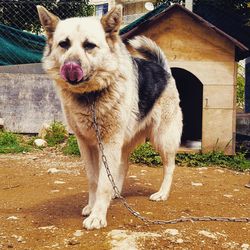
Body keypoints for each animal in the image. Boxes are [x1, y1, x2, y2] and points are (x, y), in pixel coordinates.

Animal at [36, 4, 182, 230]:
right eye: (64, 44)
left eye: (89, 45)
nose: (70, 66)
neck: (92, 96)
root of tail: (162, 69)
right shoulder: (86, 144)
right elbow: (94, 179)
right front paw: (93, 206)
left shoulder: (109, 142)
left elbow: (104, 183)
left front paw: (97, 216)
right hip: (126, 141)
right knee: (123, 165)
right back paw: (116, 193)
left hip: (162, 138)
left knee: (169, 166)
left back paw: (162, 193)